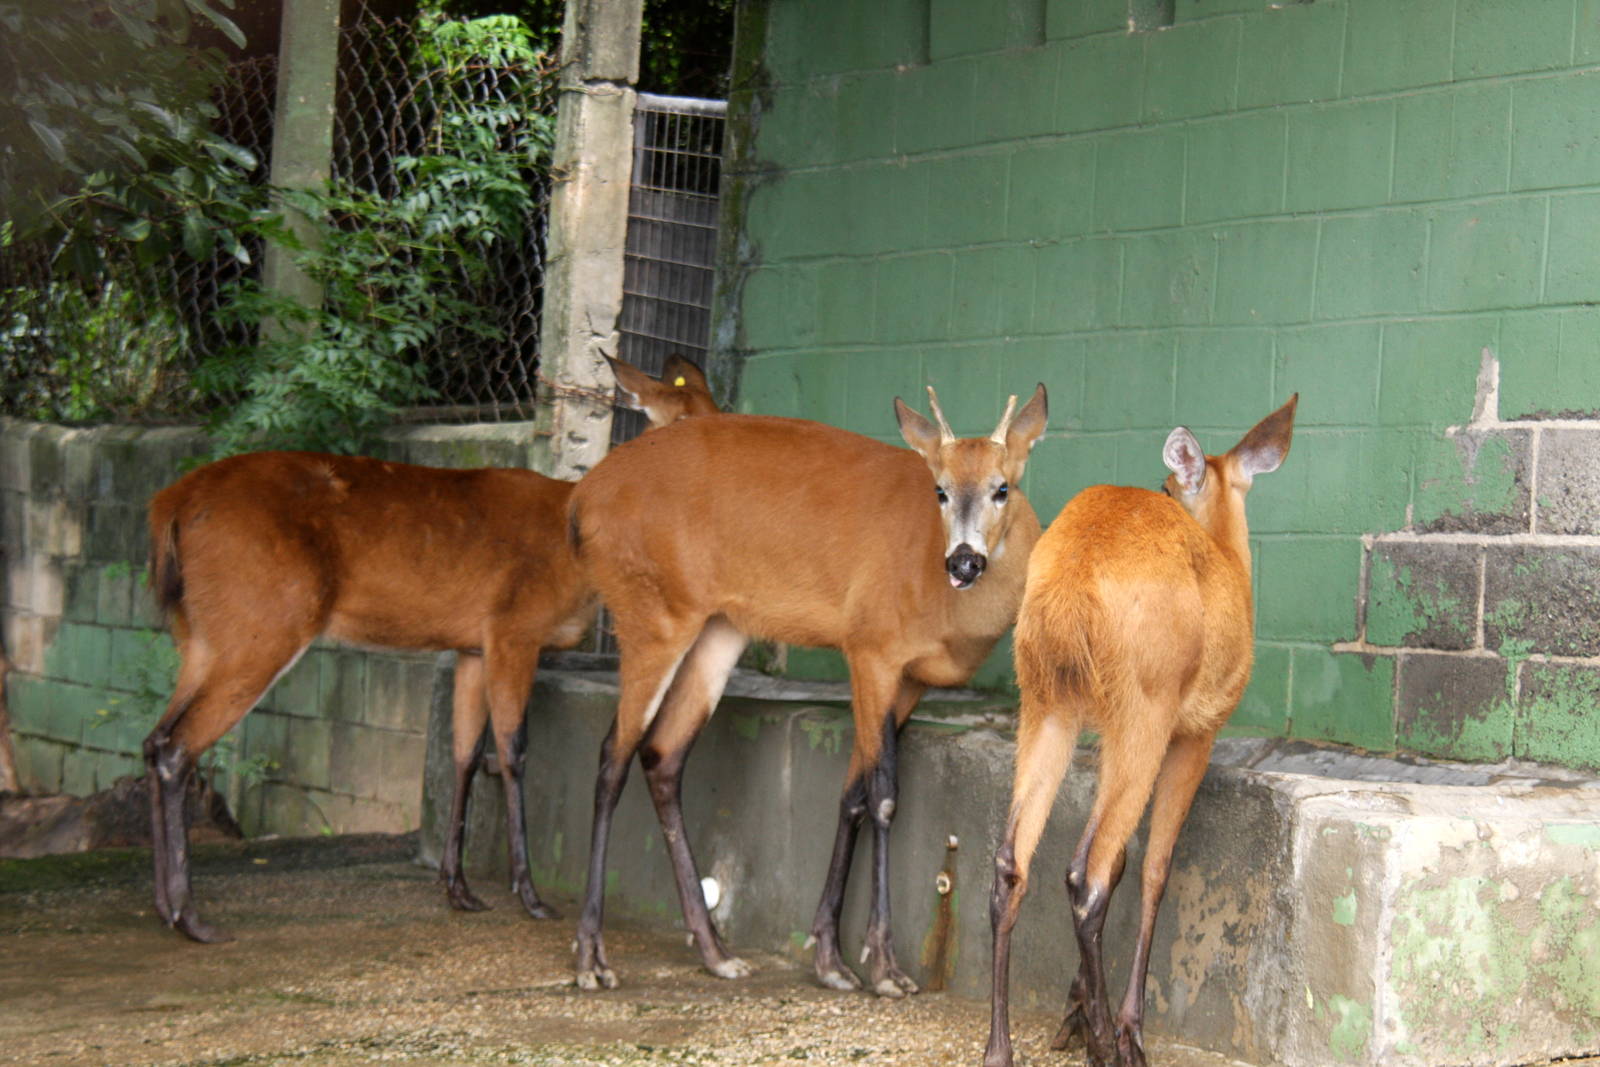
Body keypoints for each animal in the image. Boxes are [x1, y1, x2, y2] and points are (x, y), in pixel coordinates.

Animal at [141, 354, 718, 943]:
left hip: (201, 634)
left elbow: (463, 753)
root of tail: (169, 505)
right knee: (178, 746)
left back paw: (166, 907)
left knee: (155, 737)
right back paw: (190, 916)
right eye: (690, 427)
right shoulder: (513, 627)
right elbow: (513, 750)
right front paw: (529, 896)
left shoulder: (471, 648)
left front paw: (457, 888)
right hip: (264, 620)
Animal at [566, 384, 1048, 996]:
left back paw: (716, 952)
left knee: (663, 753)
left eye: (1001, 487)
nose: (964, 561)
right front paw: (884, 966)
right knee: (613, 755)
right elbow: (883, 795)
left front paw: (830, 957)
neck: (947, 609)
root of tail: (580, 500)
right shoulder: (871, 650)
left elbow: (852, 794)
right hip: (651, 611)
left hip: (719, 626)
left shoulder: (908, 679)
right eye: (939, 489)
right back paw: (591, 957)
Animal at [983, 395, 1298, 1067]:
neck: (1230, 563)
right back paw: (1110, 1041)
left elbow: (1131, 858)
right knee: (1087, 872)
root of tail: (1071, 586)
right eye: (1168, 485)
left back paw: (1002, 1047)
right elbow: (1155, 866)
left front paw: (1073, 1009)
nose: (1165, 489)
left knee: (1011, 863)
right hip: (1144, 703)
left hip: (1047, 698)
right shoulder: (1197, 729)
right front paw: (1124, 1023)